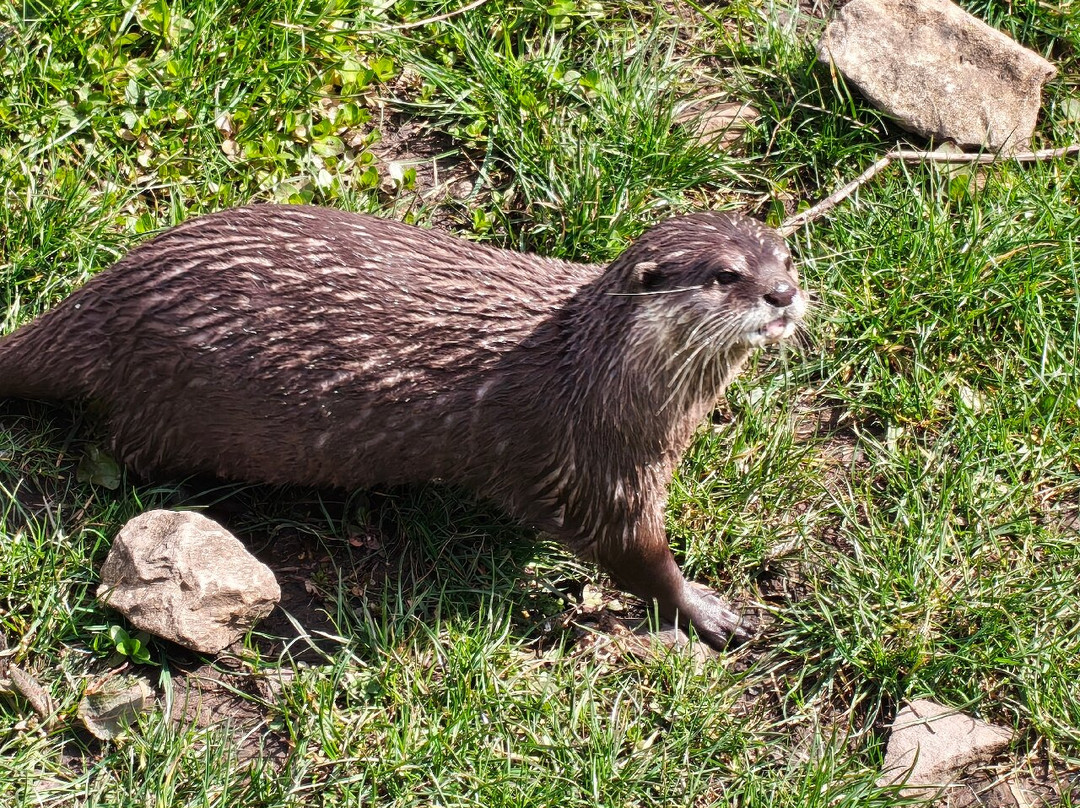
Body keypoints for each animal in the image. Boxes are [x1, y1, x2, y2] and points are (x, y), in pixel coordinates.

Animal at [0, 204, 805, 649]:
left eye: (787, 256)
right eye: (726, 275)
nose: (783, 294)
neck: (597, 378)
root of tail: (109, 295)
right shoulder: (593, 469)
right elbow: (637, 558)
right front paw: (704, 608)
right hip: (169, 406)